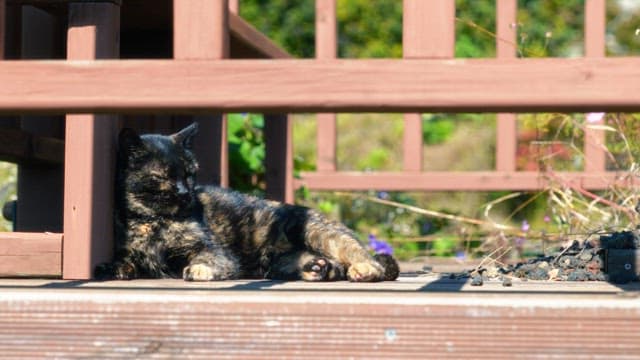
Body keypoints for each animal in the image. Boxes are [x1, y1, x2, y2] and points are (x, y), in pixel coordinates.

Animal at [94, 122, 400, 282]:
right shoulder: (134, 254)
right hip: (280, 262)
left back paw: (362, 270)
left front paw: (200, 269)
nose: (184, 192)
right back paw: (319, 268)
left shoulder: (212, 250)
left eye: (189, 173)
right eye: (162, 177)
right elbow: (126, 262)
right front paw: (109, 268)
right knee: (330, 266)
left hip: (320, 234)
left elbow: (208, 259)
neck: (152, 223)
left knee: (367, 259)